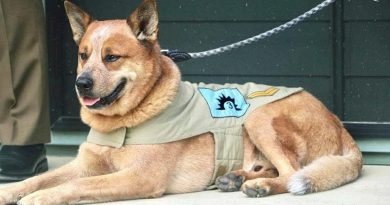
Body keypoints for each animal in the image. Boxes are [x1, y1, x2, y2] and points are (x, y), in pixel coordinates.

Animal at [0, 0, 362, 204]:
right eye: (83, 55)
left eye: (112, 57)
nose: (81, 84)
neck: (123, 122)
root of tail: (341, 127)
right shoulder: (85, 164)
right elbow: (38, 178)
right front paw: (11, 192)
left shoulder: (140, 177)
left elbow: (77, 185)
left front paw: (43, 197)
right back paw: (238, 177)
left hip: (258, 118)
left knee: (293, 172)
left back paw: (259, 186)